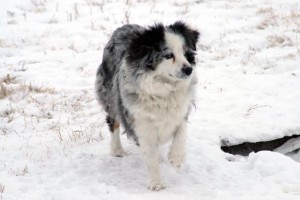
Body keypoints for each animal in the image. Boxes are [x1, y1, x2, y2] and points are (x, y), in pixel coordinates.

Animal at [95, 21, 199, 191]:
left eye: (186, 53)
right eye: (168, 55)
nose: (188, 69)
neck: (164, 89)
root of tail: (123, 27)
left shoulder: (182, 108)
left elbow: (181, 131)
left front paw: (176, 157)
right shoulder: (141, 121)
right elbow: (150, 154)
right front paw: (156, 183)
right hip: (110, 94)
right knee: (112, 121)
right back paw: (117, 150)